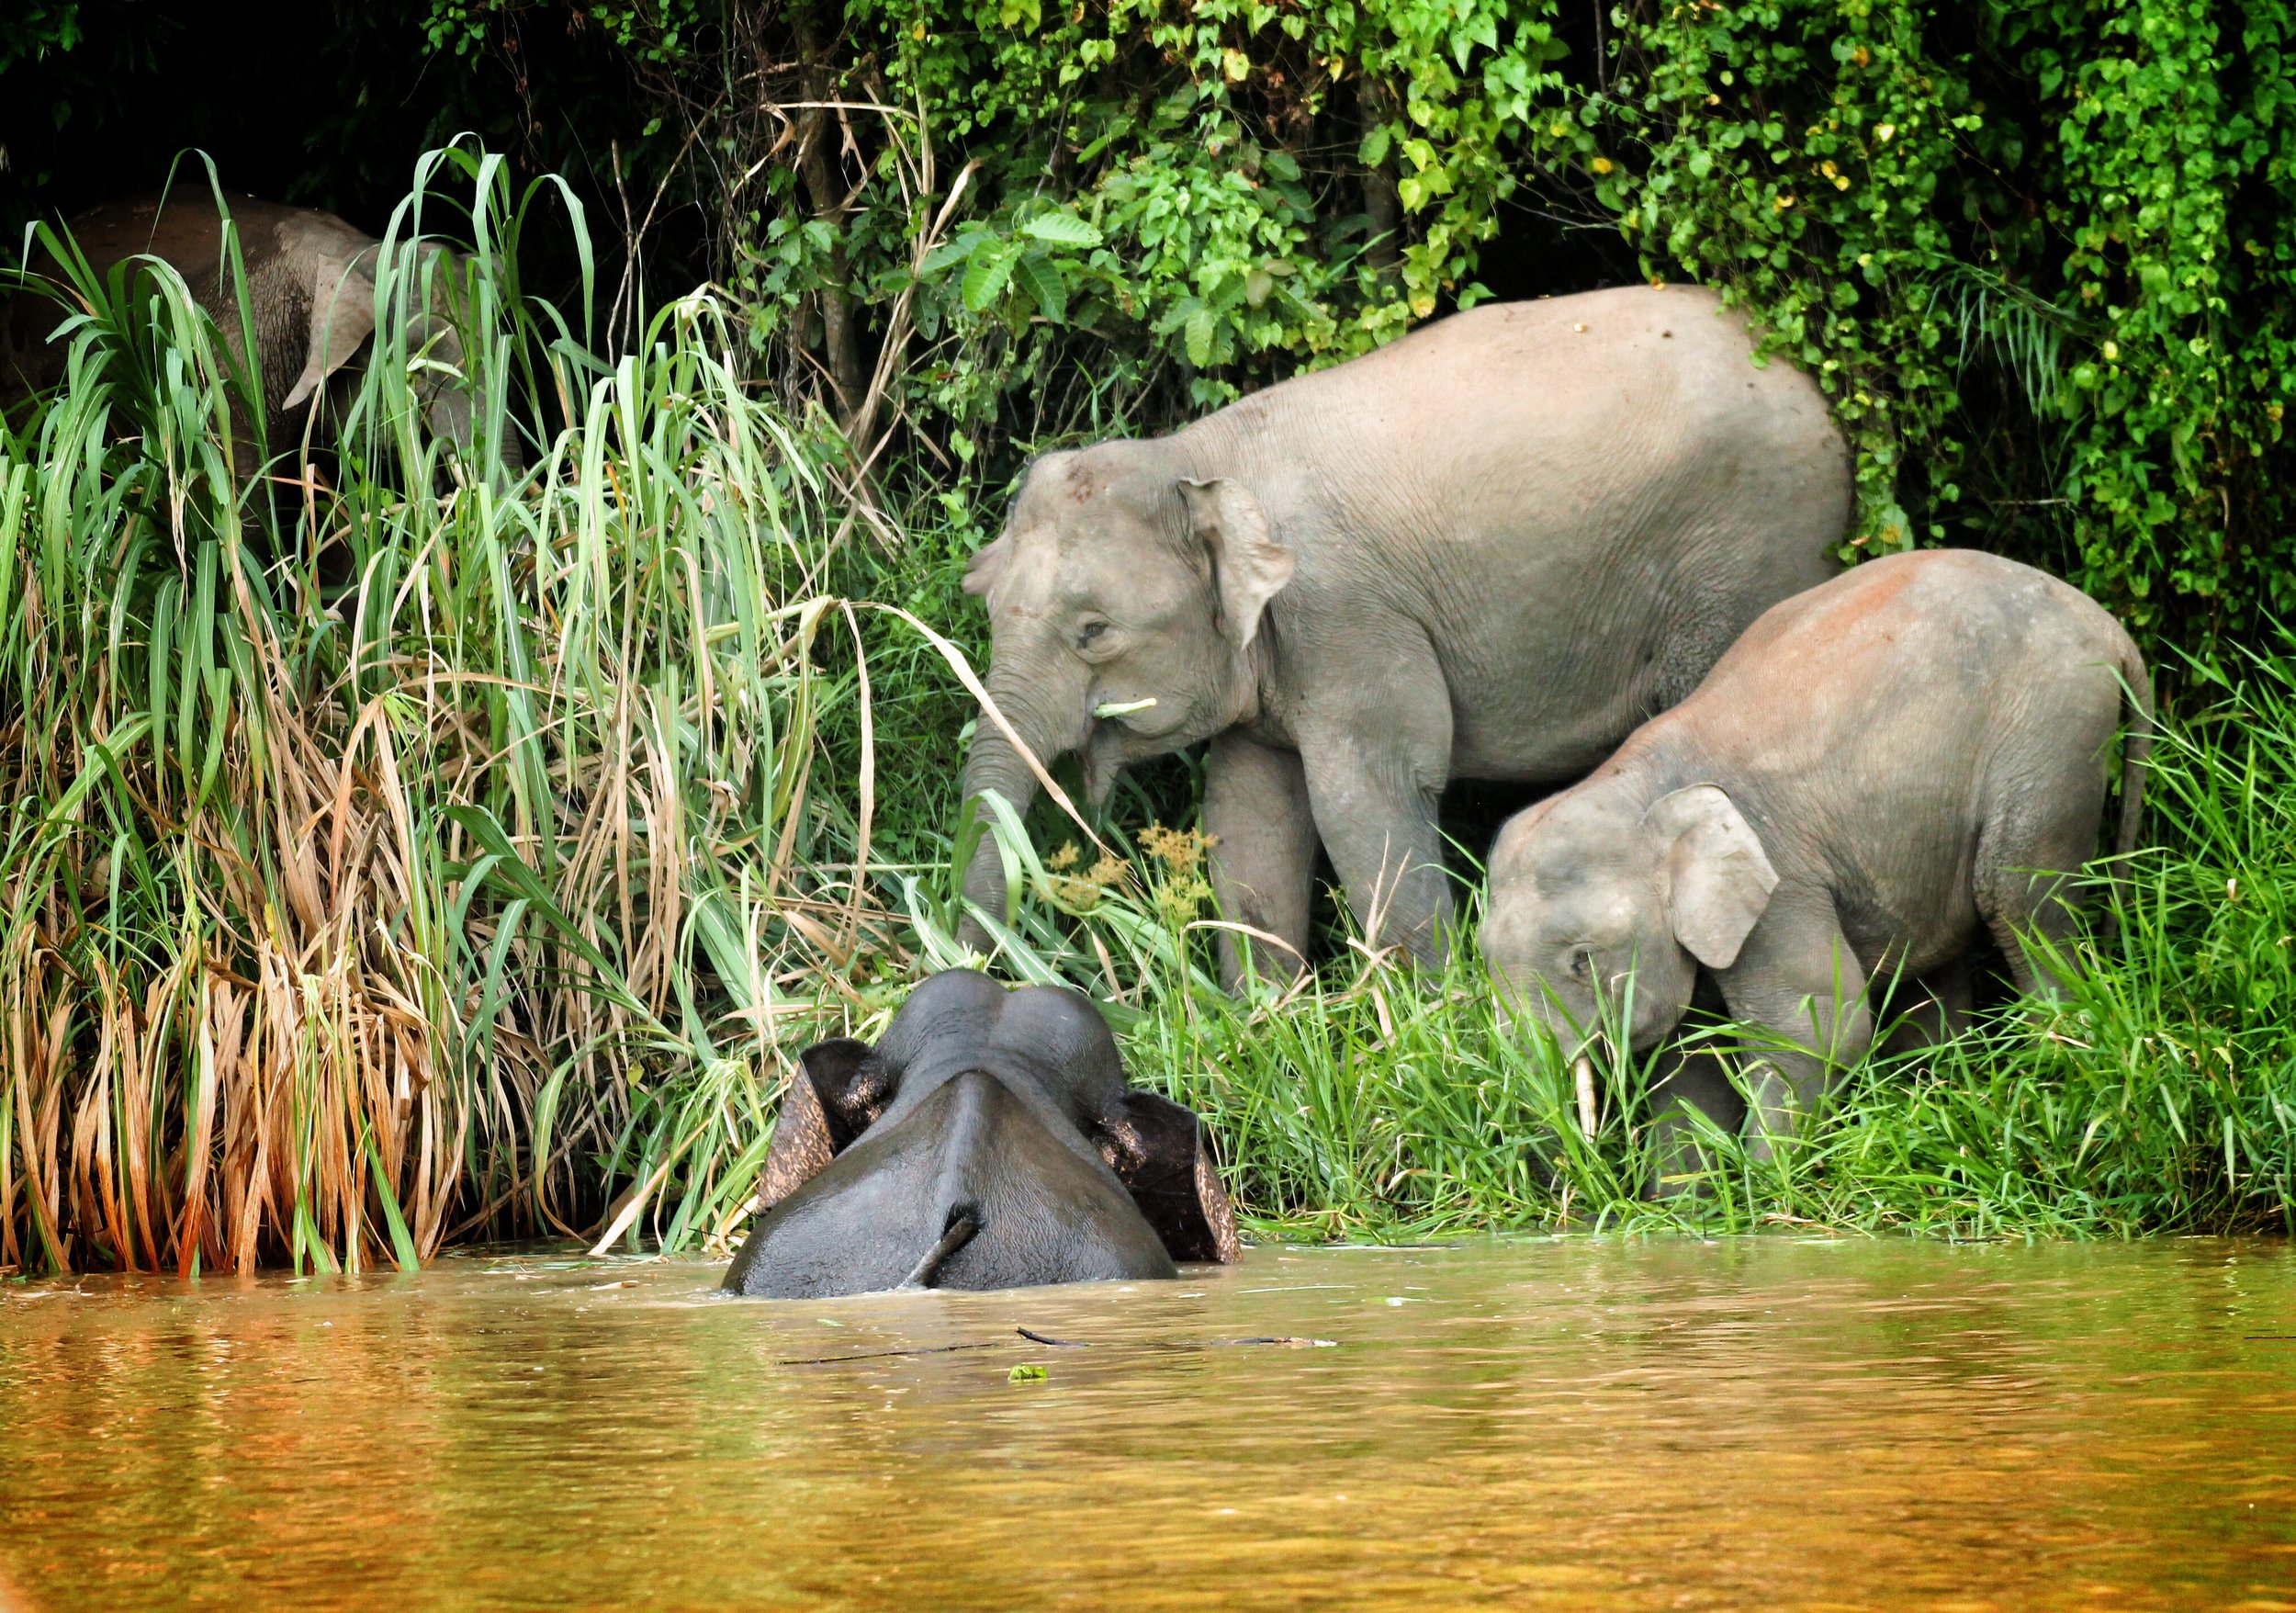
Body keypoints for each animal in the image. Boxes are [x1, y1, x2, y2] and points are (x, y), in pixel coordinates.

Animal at [951, 285, 1846, 978]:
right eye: (987, 607)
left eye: (1093, 630)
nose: (985, 963)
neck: (1197, 457)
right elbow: (1250, 817)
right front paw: (1267, 1023)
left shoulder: (1345, 615)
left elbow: (1366, 799)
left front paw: (1433, 1020)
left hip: (1753, 555)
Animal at [1479, 548, 2140, 1167]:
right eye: (1482, 958)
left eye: (1582, 960)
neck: (1640, 787)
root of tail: (2106, 624)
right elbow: (1689, 1063)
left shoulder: (1783, 884)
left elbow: (1819, 1030)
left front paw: (1764, 1188)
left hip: (2049, 744)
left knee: (2022, 907)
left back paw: (2058, 1069)